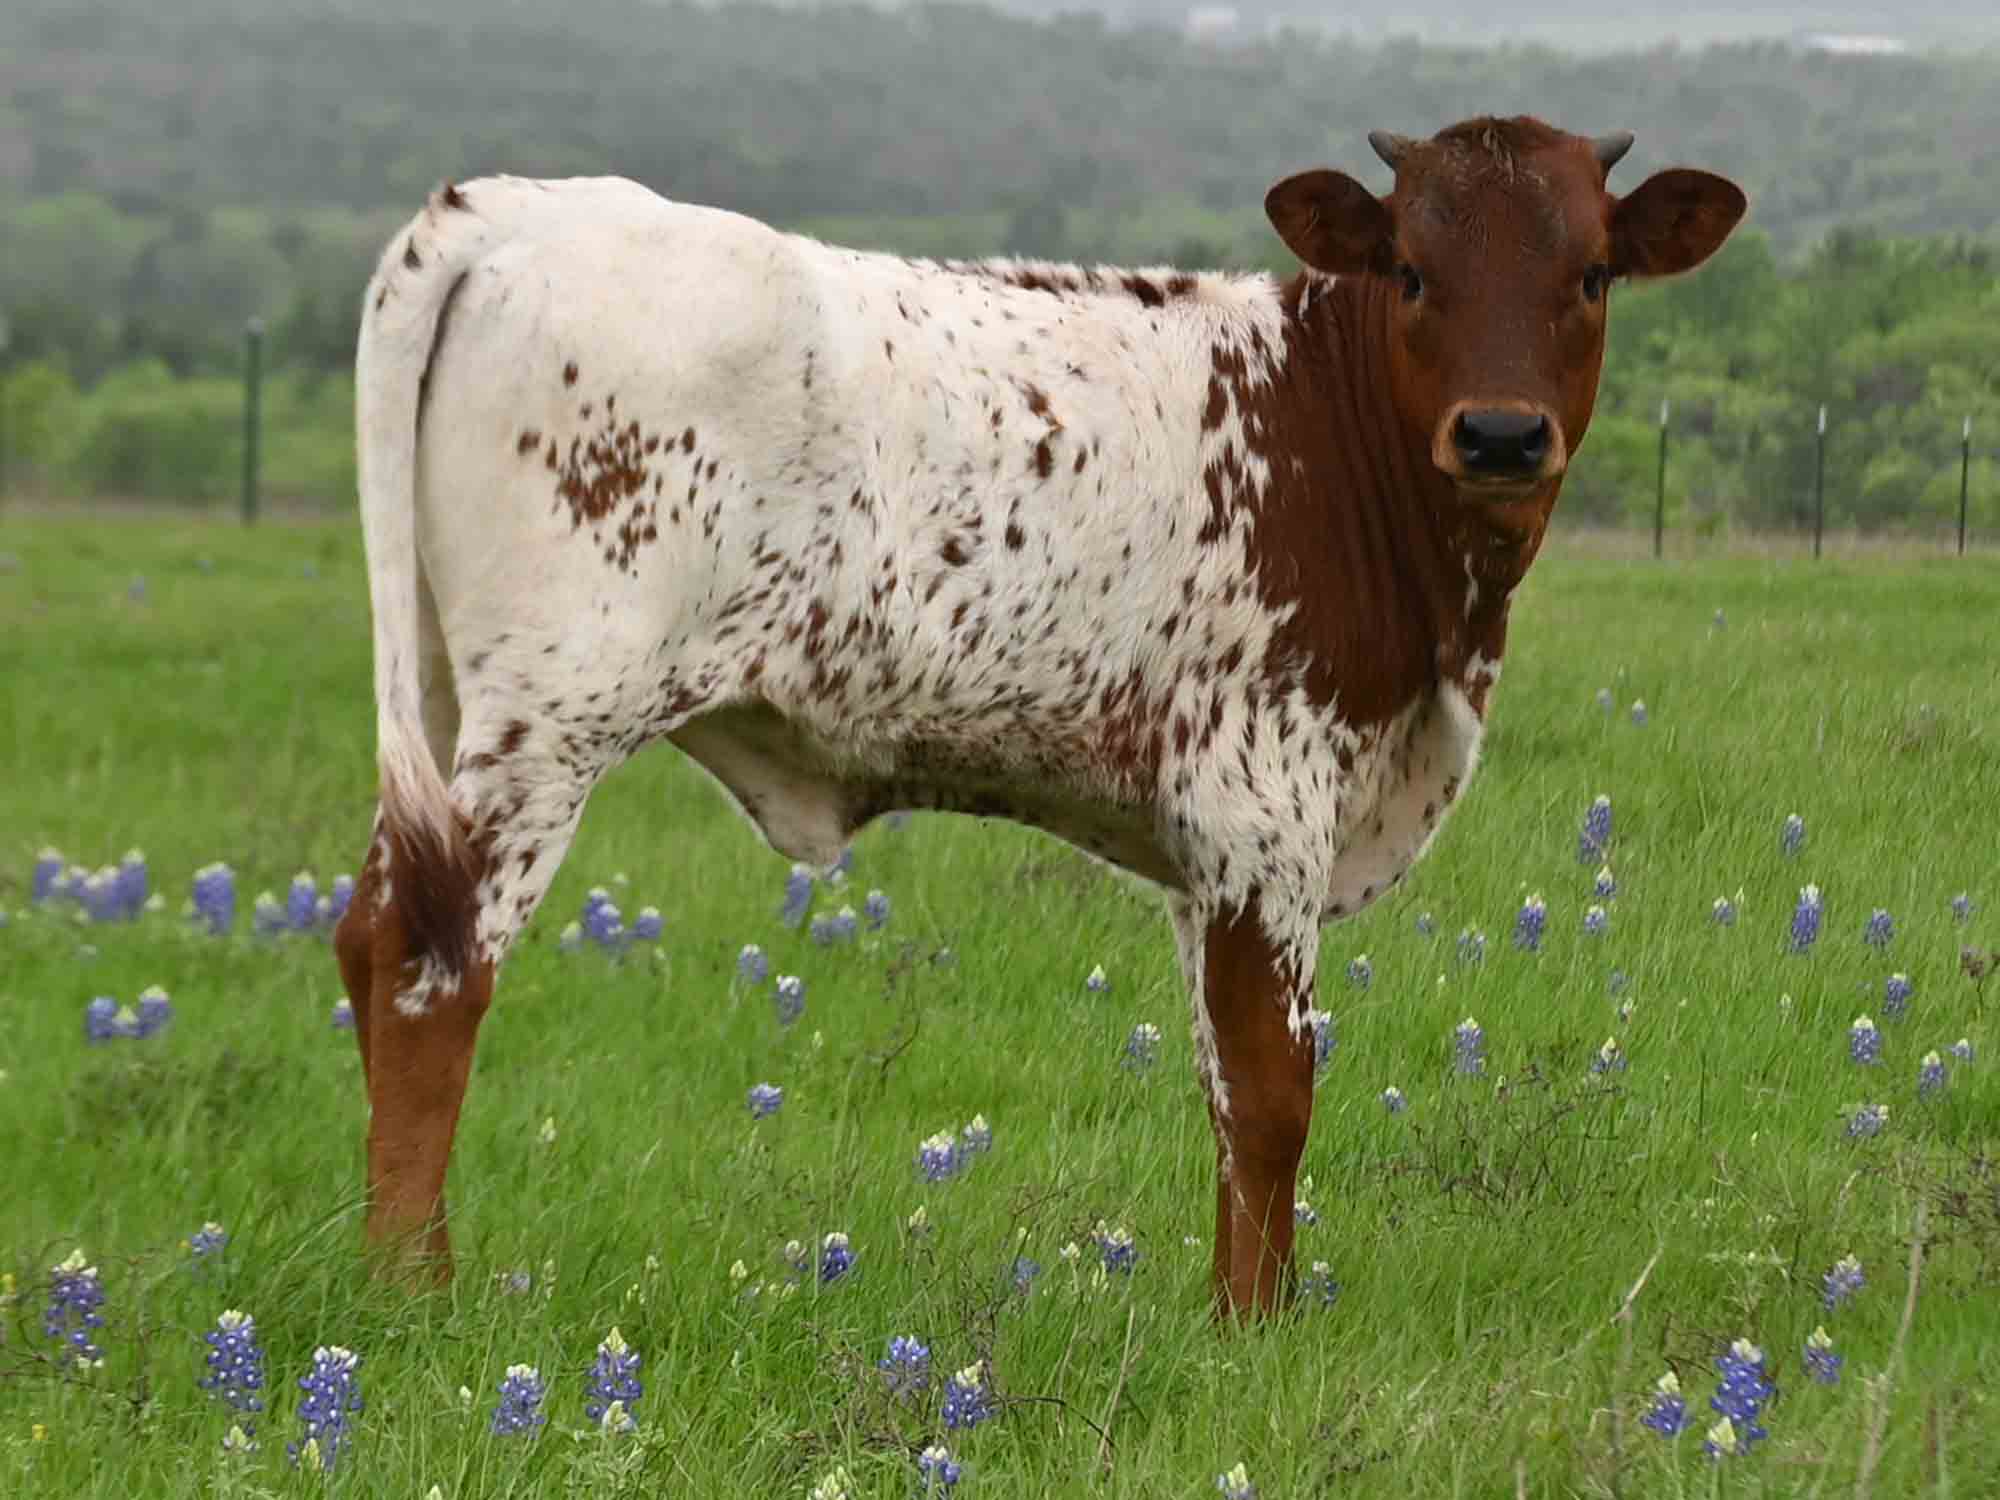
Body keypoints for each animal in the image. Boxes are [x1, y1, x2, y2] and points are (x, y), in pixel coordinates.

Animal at [334, 116, 1744, 1318]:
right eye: (1409, 268)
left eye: (1592, 273)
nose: (1501, 436)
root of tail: (518, 206)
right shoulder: (1260, 800)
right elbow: (1275, 1088)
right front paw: (1252, 1329)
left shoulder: (1203, 856)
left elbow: (1223, 1084)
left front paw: (1246, 1303)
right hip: (553, 717)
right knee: (428, 963)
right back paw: (410, 1295)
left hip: (449, 699)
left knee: (366, 931)